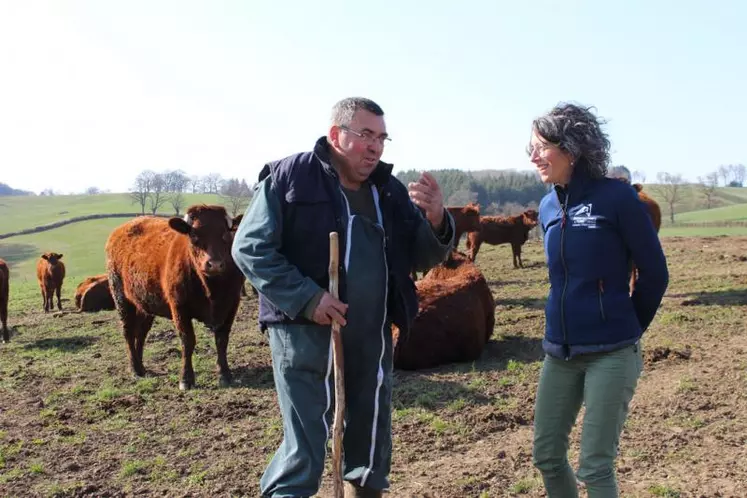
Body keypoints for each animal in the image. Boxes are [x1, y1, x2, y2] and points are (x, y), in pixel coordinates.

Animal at [105, 204, 244, 392]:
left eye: (225, 234)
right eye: (194, 236)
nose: (214, 264)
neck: (212, 289)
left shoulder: (231, 305)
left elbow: (222, 340)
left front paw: (225, 374)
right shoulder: (179, 307)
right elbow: (188, 341)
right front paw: (186, 379)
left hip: (145, 304)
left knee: (140, 334)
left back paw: (141, 367)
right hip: (121, 298)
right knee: (128, 332)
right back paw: (134, 368)